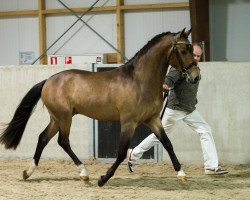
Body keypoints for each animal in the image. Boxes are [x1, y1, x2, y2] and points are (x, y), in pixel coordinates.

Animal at [0, 27, 199, 186]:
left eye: (191, 49)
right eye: (183, 50)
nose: (195, 76)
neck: (139, 80)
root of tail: (48, 80)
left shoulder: (153, 119)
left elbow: (167, 143)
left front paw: (181, 174)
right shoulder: (129, 123)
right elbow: (121, 153)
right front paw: (103, 179)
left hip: (57, 118)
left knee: (43, 138)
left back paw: (28, 172)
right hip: (64, 117)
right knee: (63, 141)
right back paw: (84, 173)